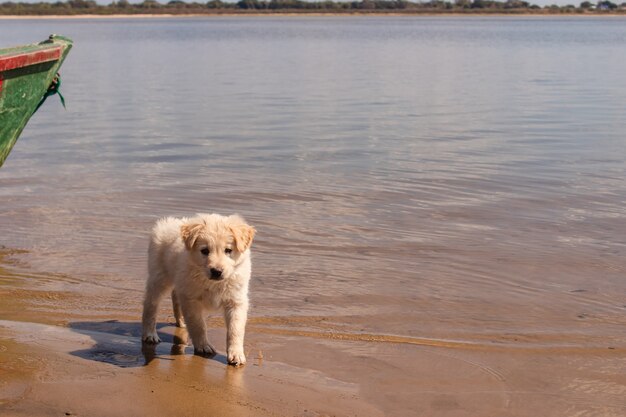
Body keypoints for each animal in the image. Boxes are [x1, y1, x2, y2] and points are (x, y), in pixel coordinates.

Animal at [142, 213, 256, 366]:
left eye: (228, 250)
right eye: (205, 251)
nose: (216, 271)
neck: (213, 283)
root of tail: (171, 221)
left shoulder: (236, 301)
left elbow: (235, 329)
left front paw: (236, 354)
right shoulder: (192, 299)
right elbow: (198, 325)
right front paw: (203, 346)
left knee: (176, 296)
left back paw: (181, 322)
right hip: (159, 277)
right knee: (150, 305)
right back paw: (150, 334)